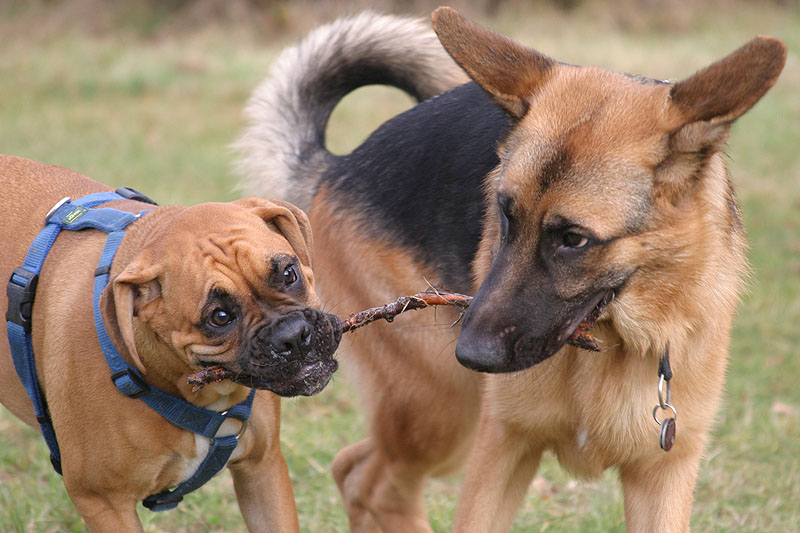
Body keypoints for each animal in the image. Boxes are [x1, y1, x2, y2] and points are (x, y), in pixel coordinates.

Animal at [235, 9, 786, 532]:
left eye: (573, 239)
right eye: (503, 212)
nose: (469, 354)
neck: (614, 344)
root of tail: (336, 166)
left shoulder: (663, 476)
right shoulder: (501, 448)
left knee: (356, 470)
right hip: (440, 411)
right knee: (371, 483)